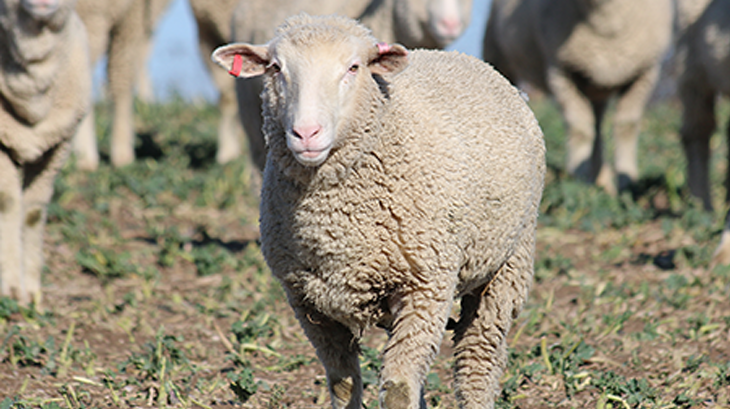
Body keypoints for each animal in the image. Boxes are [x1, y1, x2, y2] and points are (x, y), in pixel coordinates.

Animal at [0, 0, 91, 305]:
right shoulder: (1, 143)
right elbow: (7, 202)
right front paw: (11, 287)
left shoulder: (57, 147)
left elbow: (33, 212)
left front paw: (32, 291)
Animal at [483, 0, 674, 195]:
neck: (606, 21)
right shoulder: (562, 71)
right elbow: (580, 129)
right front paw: (580, 181)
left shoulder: (645, 73)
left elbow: (626, 127)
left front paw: (626, 182)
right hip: (497, 54)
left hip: (597, 89)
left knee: (598, 128)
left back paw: (602, 180)